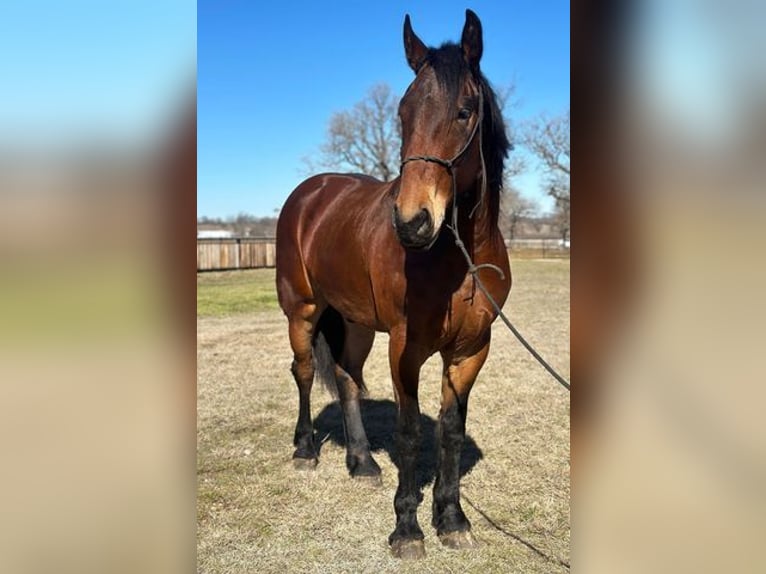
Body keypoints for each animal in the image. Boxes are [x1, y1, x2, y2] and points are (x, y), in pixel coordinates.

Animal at [272, 9, 512, 560]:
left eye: (465, 111)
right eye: (402, 114)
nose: (411, 222)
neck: (458, 258)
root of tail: (310, 193)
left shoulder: (471, 349)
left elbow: (450, 431)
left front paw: (452, 519)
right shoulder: (405, 348)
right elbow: (408, 433)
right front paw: (407, 529)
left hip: (356, 322)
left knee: (345, 379)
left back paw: (362, 462)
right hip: (303, 311)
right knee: (303, 372)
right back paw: (304, 450)